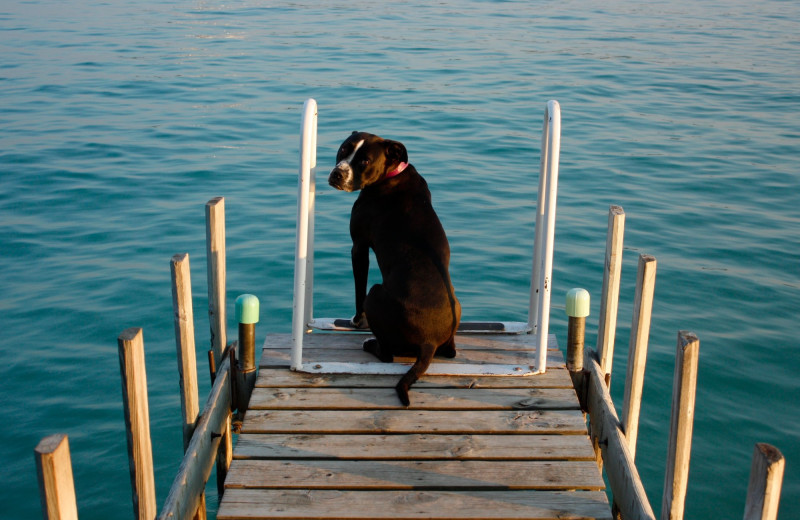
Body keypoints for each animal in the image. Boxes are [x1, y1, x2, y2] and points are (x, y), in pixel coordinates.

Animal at [326, 131, 462, 406]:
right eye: (343, 149)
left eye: (365, 161)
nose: (337, 173)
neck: (391, 174)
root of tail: (429, 342)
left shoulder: (359, 247)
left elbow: (358, 289)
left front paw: (356, 321)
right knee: (451, 351)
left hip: (376, 294)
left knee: (387, 353)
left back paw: (370, 344)